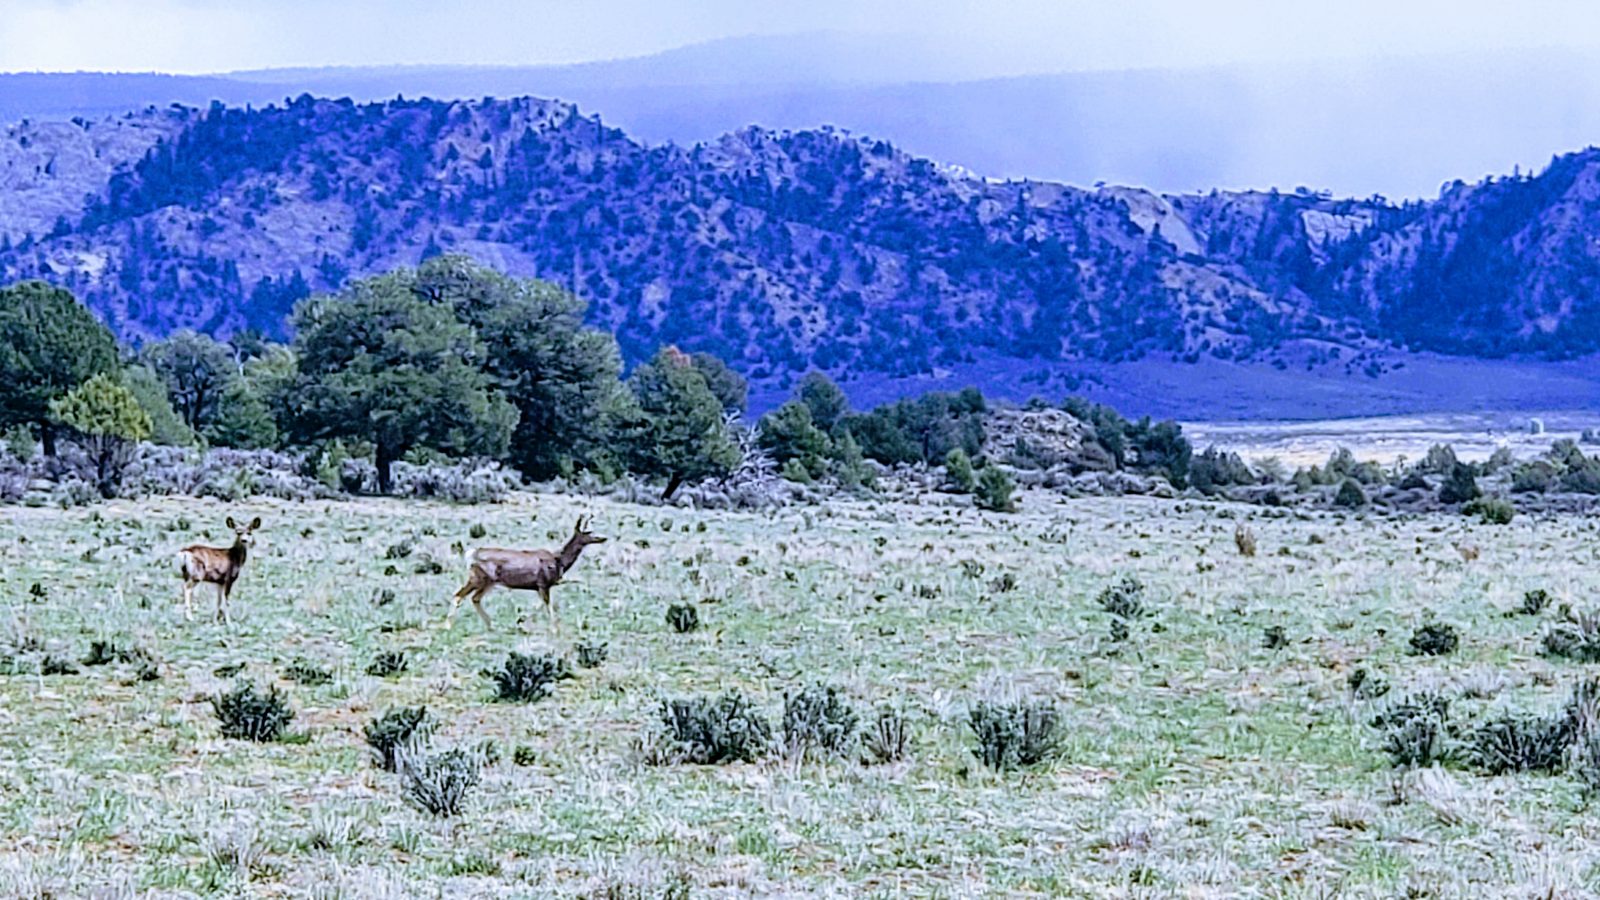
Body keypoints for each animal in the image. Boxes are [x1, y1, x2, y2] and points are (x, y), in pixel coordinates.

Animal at [447, 516, 607, 633]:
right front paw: (554, 629)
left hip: (488, 582)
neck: (559, 561)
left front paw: (521, 620)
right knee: (459, 596)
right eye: (587, 533)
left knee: (474, 598)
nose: (602, 538)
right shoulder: (543, 583)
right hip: (478, 578)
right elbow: (547, 605)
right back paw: (448, 626)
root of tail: (470, 554)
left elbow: (540, 605)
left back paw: (491, 625)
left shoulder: (538, 586)